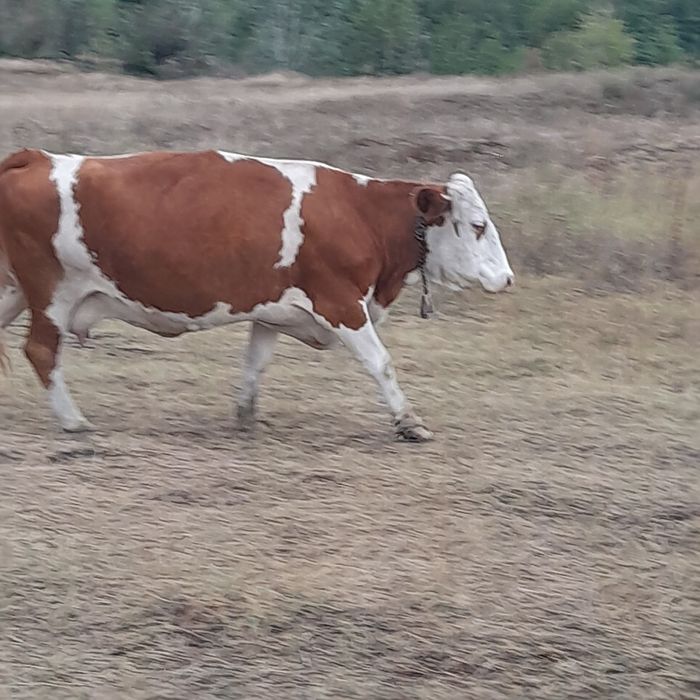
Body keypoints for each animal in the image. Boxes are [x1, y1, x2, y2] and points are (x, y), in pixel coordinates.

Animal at [0, 148, 513, 442]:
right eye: (477, 225)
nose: (507, 278)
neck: (360, 215)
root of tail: (36, 157)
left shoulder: (271, 314)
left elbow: (255, 363)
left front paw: (245, 416)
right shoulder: (341, 304)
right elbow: (380, 362)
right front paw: (409, 421)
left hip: (14, 290)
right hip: (51, 294)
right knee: (41, 351)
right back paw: (73, 421)